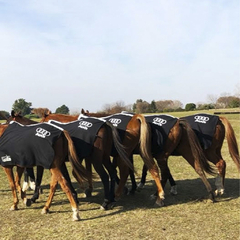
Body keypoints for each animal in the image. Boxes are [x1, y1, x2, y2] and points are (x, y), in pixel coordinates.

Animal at [81, 109, 218, 202]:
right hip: (184, 150)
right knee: (197, 167)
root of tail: (178, 122)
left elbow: (125, 170)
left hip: (158, 154)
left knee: (161, 171)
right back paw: (210, 193)